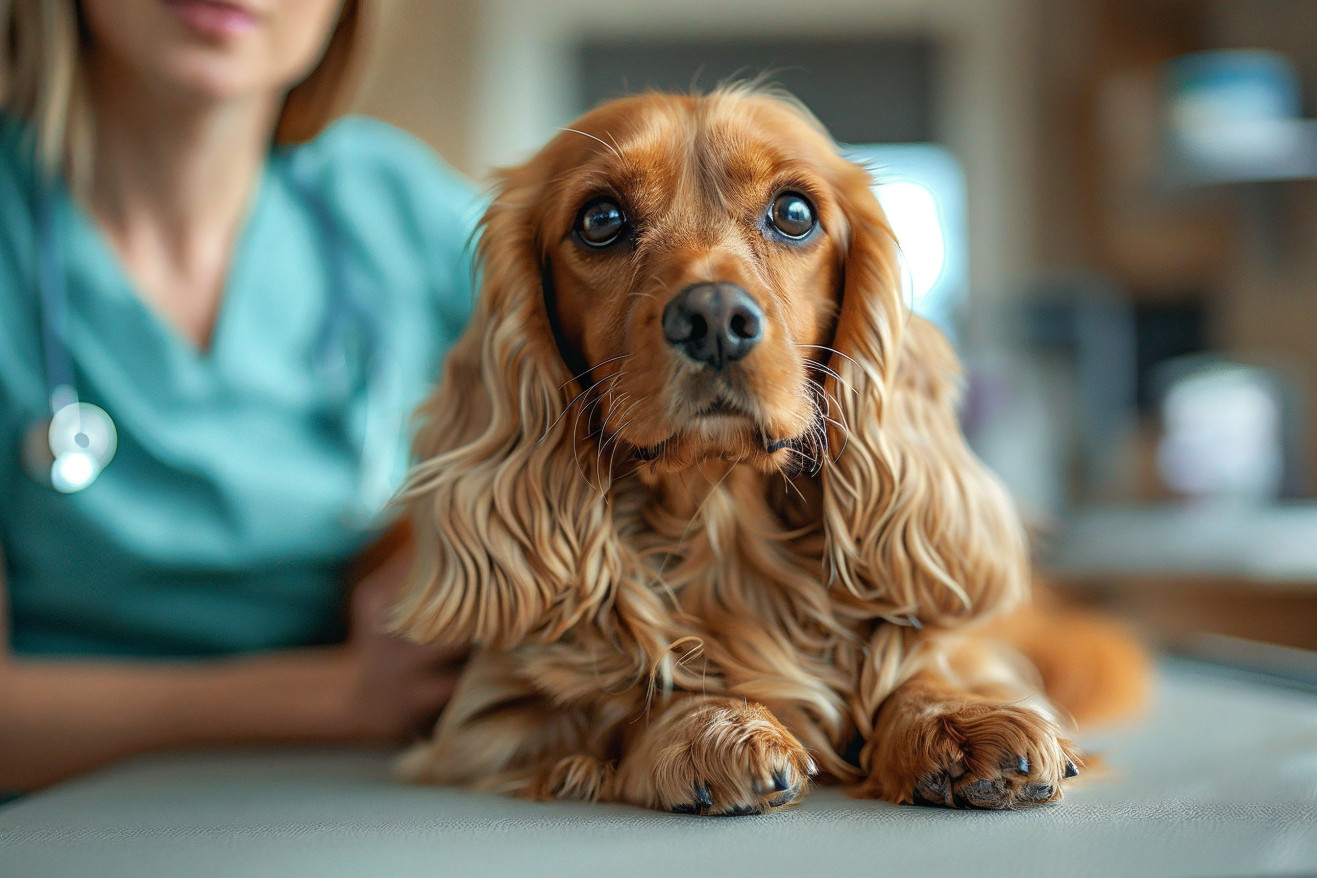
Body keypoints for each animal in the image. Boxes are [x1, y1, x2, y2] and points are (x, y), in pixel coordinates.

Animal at [389, 89, 1143, 816]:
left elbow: (921, 661)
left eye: (793, 213)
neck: (722, 519)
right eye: (599, 219)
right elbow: (616, 700)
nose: (714, 319)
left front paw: (957, 718)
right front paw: (711, 726)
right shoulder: (488, 717)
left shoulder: (963, 643)